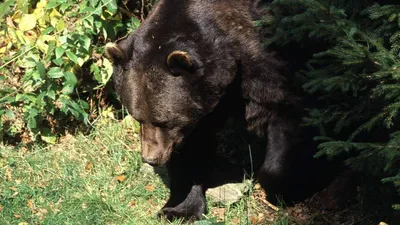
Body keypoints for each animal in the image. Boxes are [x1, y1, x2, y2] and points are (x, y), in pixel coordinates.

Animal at [106, 0, 304, 221]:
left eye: (164, 121)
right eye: (138, 118)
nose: (151, 158)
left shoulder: (264, 64)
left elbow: (283, 114)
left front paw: (282, 189)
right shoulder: (201, 109)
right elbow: (193, 149)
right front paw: (179, 208)